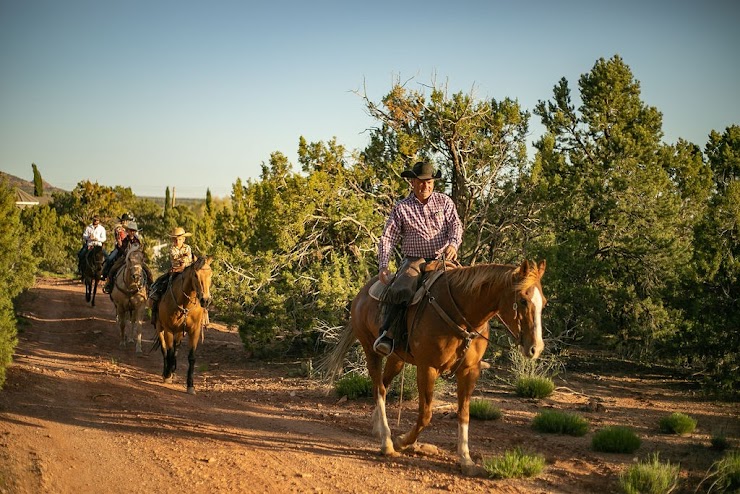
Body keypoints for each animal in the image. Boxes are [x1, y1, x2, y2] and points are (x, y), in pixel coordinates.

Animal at [155, 256, 212, 396]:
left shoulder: (194, 331)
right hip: (159, 327)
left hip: (180, 332)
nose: (205, 300)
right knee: (165, 350)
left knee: (175, 350)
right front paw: (167, 375)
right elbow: (169, 352)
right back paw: (167, 372)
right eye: (196, 275)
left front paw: (190, 385)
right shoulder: (168, 330)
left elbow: (191, 357)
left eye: (211, 274)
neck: (185, 304)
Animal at [320, 258, 548, 474]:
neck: (460, 315)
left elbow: (464, 413)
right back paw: (386, 442)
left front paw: (466, 460)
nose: (535, 348)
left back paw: (378, 429)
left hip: (397, 359)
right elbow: (426, 414)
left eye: (543, 303)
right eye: (523, 300)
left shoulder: (469, 371)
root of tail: (362, 293)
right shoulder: (427, 368)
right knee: (379, 388)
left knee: (383, 385)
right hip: (371, 350)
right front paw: (401, 441)